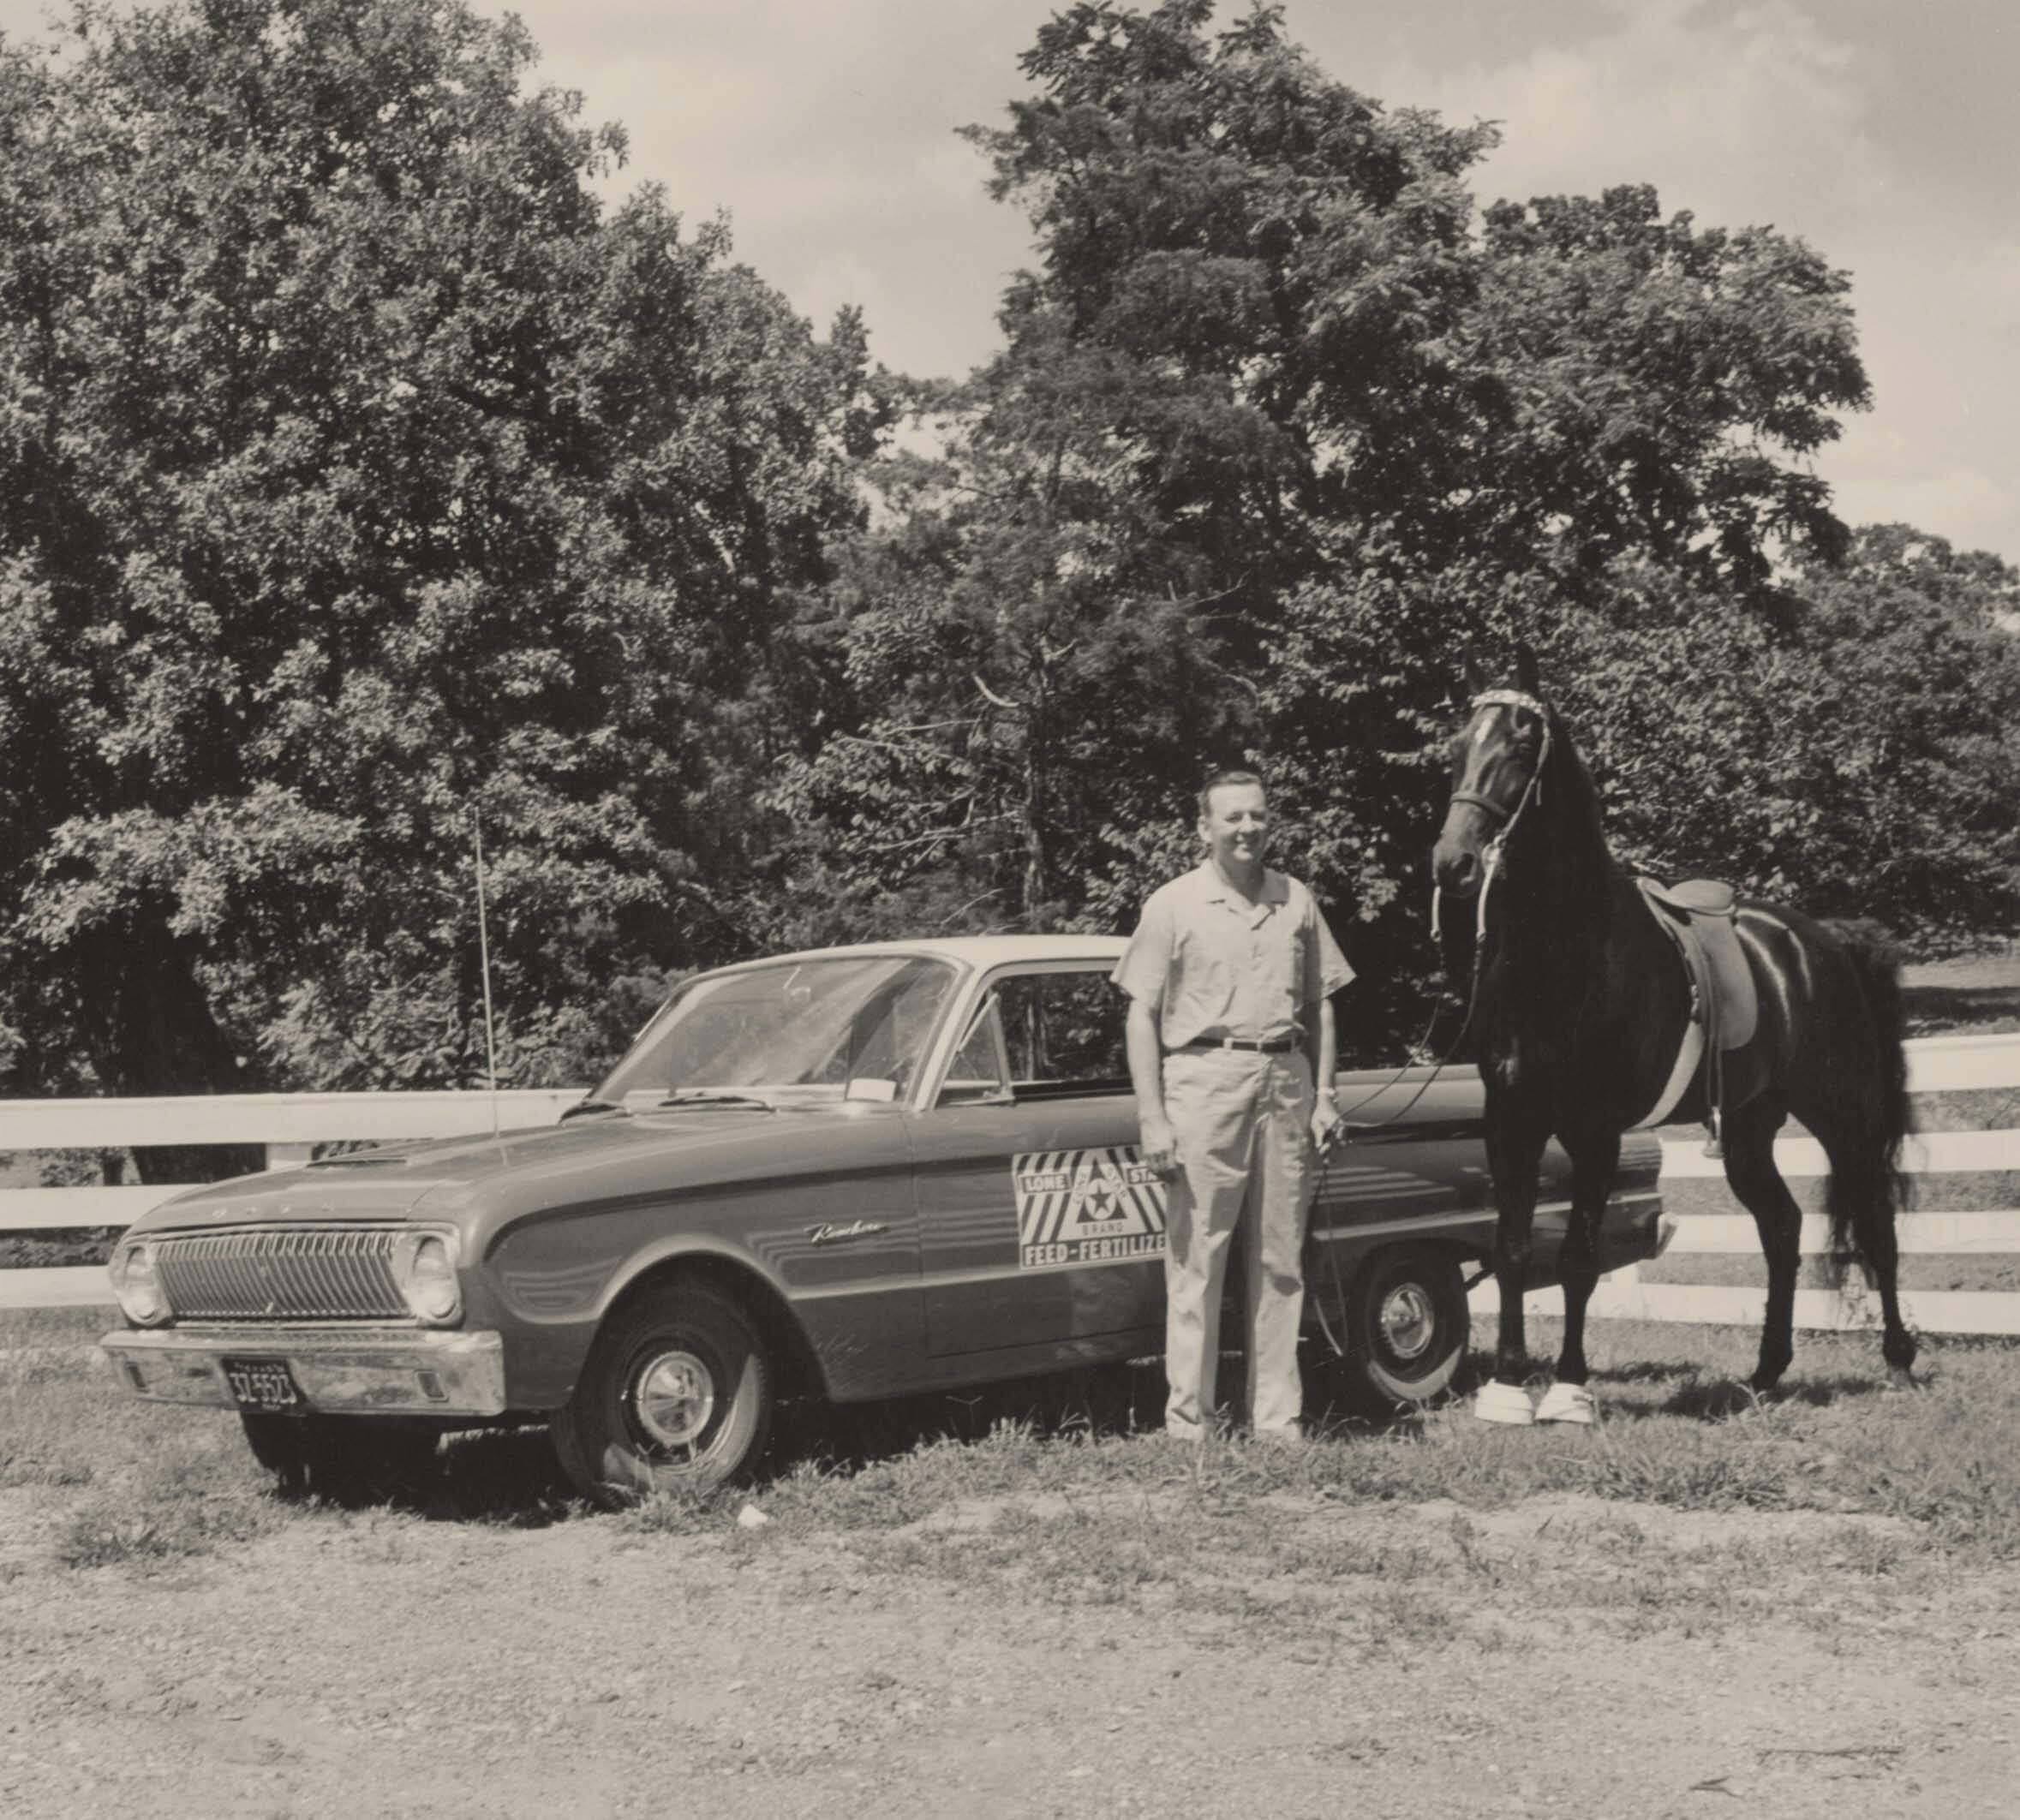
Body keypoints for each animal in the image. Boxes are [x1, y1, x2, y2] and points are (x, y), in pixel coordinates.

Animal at [1429, 648, 1916, 1424]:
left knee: (1875, 1224)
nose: (1454, 863)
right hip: (1748, 1130)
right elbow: (1511, 1248)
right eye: (1455, 748)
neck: (1568, 952)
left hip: (1845, 1117)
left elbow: (1576, 1259)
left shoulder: (1594, 1130)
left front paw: (1569, 1387)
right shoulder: (1511, 1119)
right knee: (1780, 1228)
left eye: (1522, 746)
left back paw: (1898, 1360)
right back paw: (1766, 1372)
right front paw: (1506, 1387)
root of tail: (1824, 941)